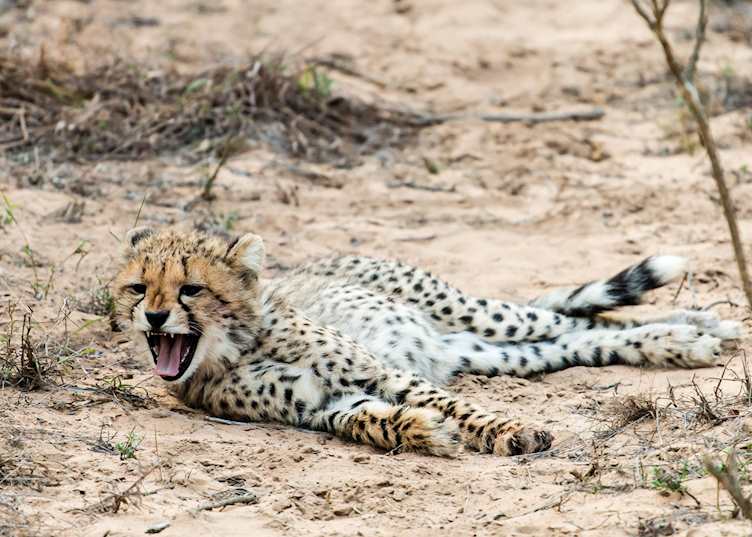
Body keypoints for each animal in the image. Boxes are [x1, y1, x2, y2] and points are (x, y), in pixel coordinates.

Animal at [113, 227, 742, 457]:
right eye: (139, 287)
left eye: (191, 288)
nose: (154, 317)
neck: (239, 346)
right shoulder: (321, 405)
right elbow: (368, 420)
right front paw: (419, 431)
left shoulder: (379, 372)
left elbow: (455, 405)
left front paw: (509, 431)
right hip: (492, 350)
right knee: (582, 339)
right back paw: (686, 336)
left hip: (477, 315)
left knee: (566, 318)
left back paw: (693, 330)